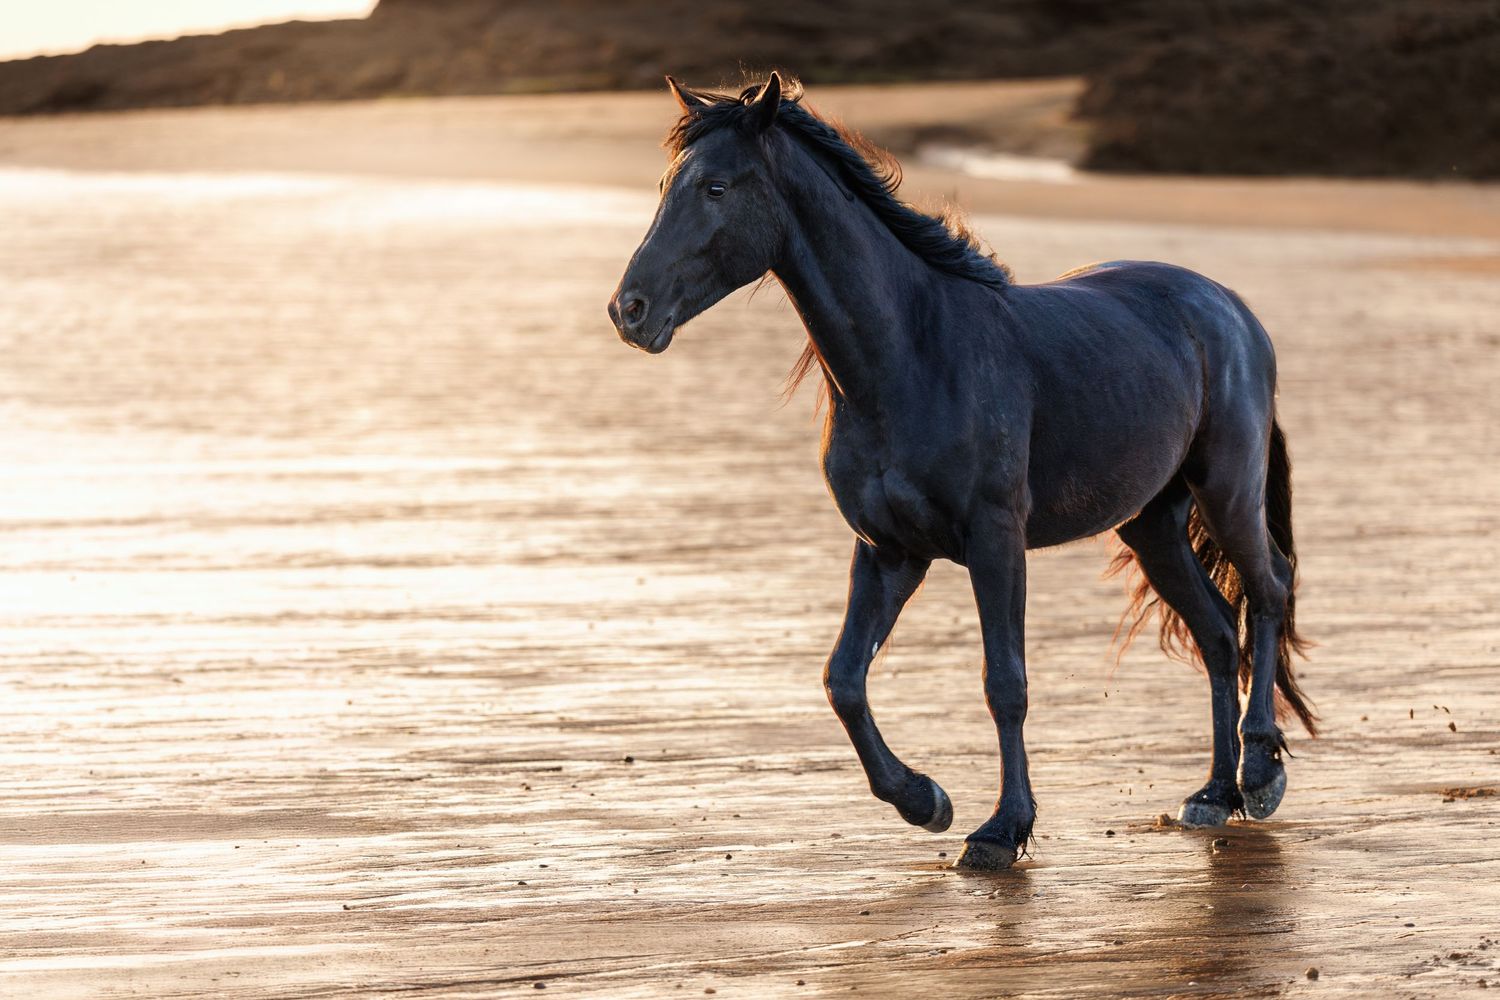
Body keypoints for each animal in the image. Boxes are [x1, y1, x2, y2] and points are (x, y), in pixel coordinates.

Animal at [607, 73, 1316, 870]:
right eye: (668, 185)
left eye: (716, 187)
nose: (629, 310)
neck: (912, 354)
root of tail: (1230, 308)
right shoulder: (890, 550)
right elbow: (843, 678)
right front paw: (924, 801)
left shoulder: (994, 540)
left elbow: (1004, 682)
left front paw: (1002, 829)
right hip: (1152, 527)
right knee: (1218, 631)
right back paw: (1213, 795)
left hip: (1226, 491)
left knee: (1269, 589)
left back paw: (1259, 774)